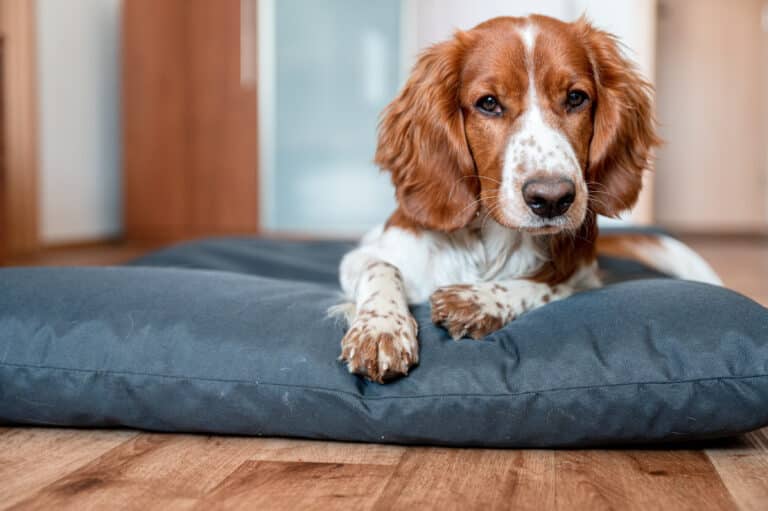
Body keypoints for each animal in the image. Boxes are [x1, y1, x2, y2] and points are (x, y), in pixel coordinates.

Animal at [334, 14, 720, 384]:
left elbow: (546, 286)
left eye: (576, 98)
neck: (493, 240)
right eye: (489, 103)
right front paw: (380, 329)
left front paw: (479, 301)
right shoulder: (365, 254)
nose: (552, 199)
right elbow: (380, 267)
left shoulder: (582, 275)